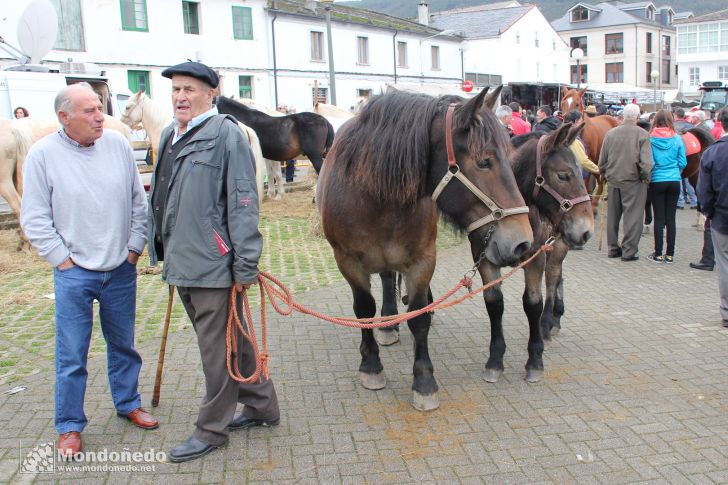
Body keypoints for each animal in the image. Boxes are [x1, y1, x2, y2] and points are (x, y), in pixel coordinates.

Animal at [316, 87, 532, 408]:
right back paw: (388, 323)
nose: (522, 242)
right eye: (484, 161)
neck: (374, 197)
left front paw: (424, 381)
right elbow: (364, 310)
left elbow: (418, 319)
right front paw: (371, 367)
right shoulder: (347, 261)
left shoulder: (422, 260)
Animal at [480, 123, 596, 384]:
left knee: (553, 279)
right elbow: (494, 304)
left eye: (580, 171)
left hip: (558, 247)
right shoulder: (484, 259)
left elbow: (533, 302)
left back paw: (547, 324)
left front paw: (535, 360)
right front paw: (495, 360)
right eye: (563, 175)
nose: (586, 230)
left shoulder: (536, 257)